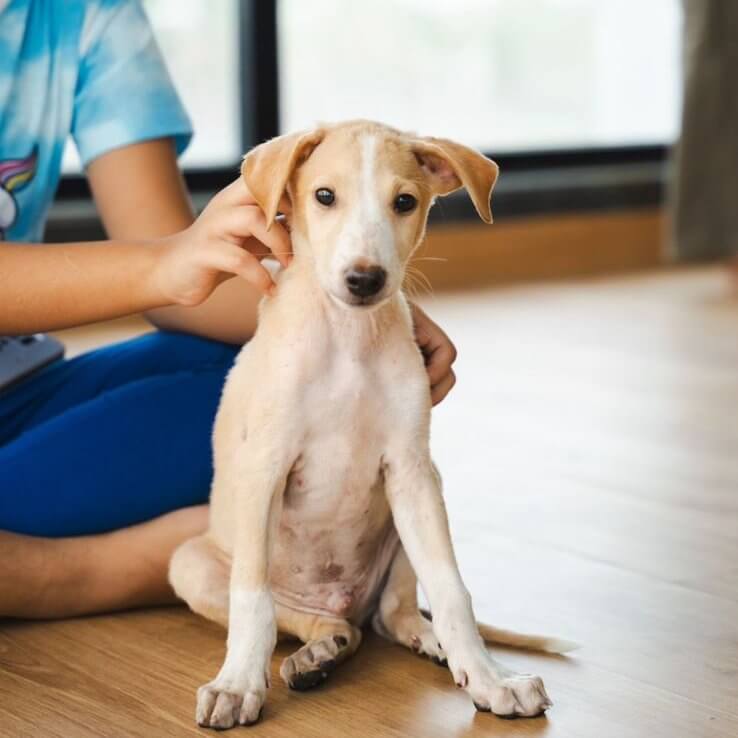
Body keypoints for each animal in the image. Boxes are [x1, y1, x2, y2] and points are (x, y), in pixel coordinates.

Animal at [170, 118, 572, 728]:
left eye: (404, 202)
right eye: (323, 196)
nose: (364, 279)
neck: (349, 339)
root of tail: (341, 602)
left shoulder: (410, 469)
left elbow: (452, 590)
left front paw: (490, 678)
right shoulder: (264, 468)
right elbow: (253, 599)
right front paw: (237, 684)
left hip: (411, 519)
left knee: (391, 614)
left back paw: (429, 645)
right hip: (189, 562)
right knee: (312, 622)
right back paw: (315, 654)